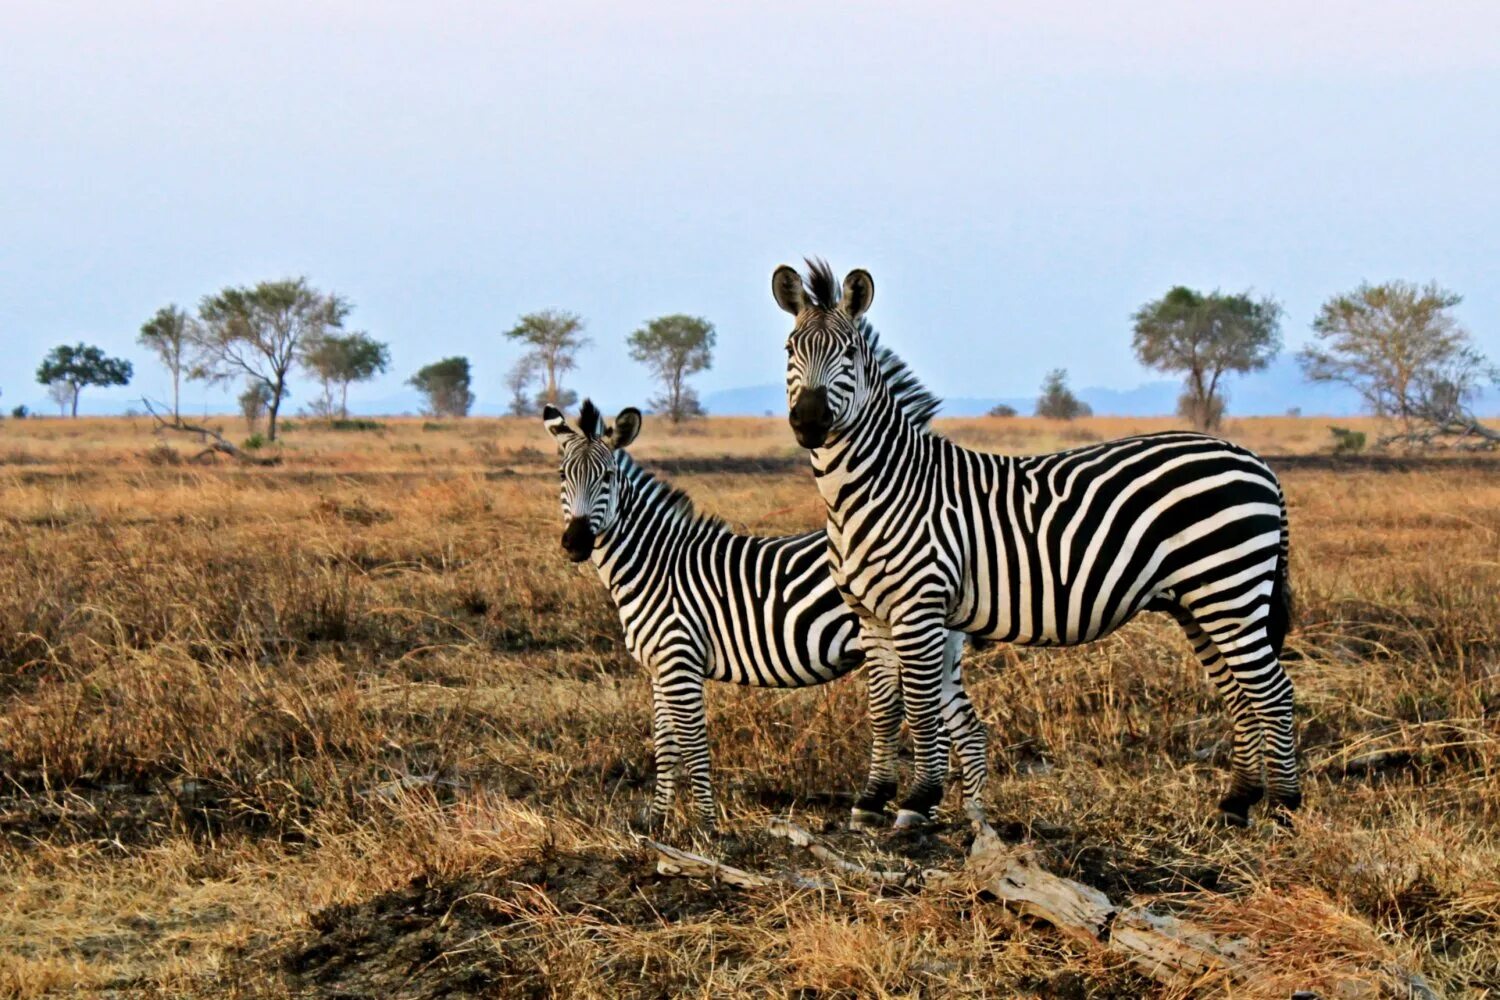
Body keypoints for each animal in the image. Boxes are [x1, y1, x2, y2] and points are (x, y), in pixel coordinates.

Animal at [546, 395, 990, 827]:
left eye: (607, 477)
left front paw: (706, 826)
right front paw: (656, 820)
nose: (575, 543)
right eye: (563, 478)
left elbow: (693, 745)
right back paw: (960, 820)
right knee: (967, 730)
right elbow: (666, 746)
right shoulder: (659, 667)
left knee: (946, 729)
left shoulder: (680, 659)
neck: (655, 564)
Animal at [774, 260, 1302, 827]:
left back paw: (1284, 807)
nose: (809, 422)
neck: (876, 488)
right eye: (789, 349)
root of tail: (1254, 460)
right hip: (1200, 602)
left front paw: (917, 802)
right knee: (1240, 693)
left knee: (1274, 691)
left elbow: (919, 708)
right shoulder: (869, 614)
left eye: (849, 352)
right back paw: (1237, 801)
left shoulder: (920, 607)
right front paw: (873, 799)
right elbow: (883, 709)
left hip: (1230, 590)